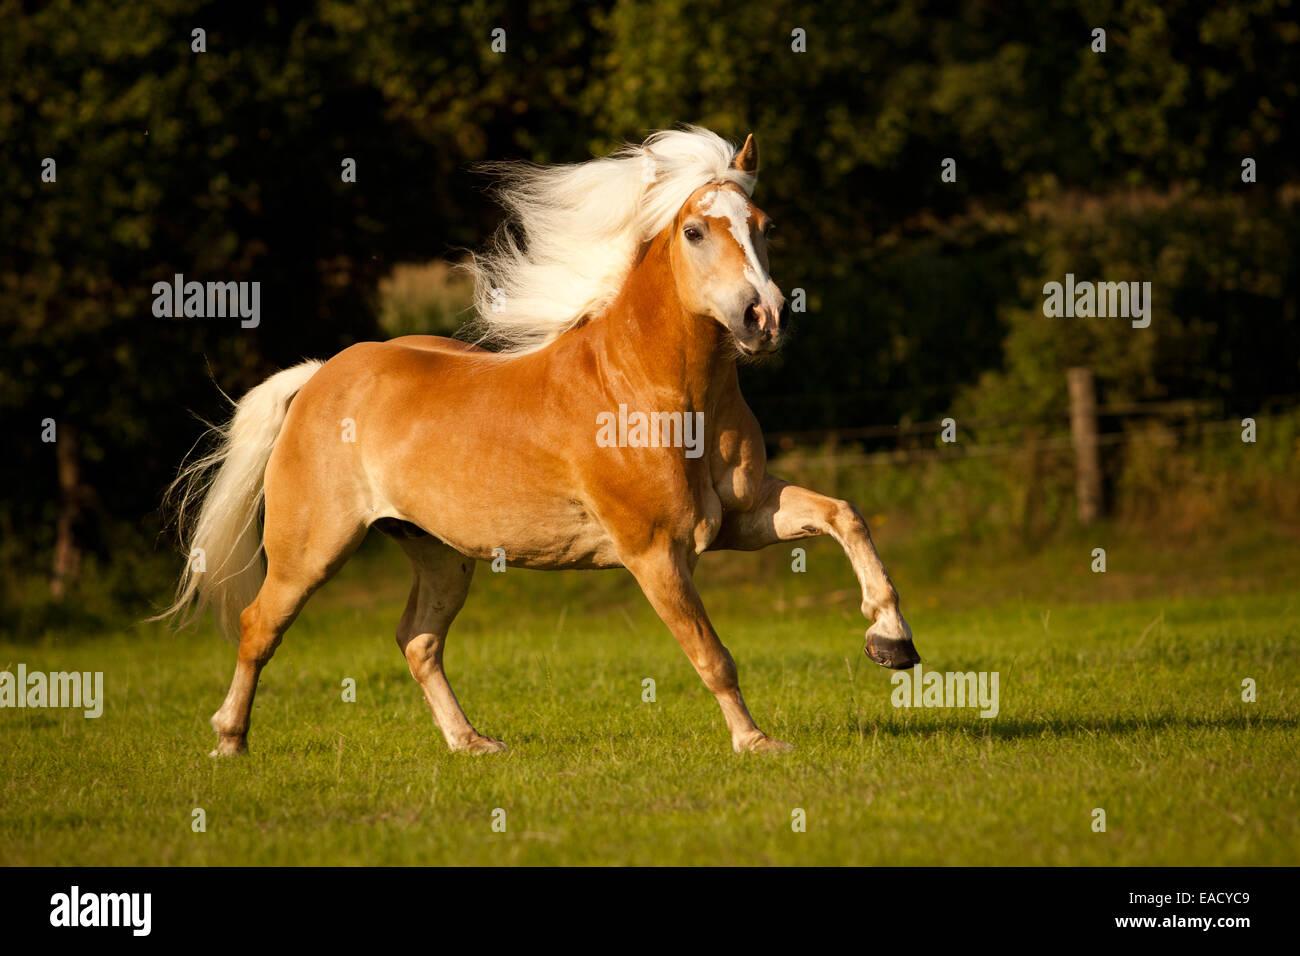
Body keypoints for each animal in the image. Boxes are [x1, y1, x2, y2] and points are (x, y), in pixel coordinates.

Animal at [162, 125, 920, 754]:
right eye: (695, 231)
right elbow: (712, 655)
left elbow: (843, 515)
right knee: (260, 625)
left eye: (764, 225)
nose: (763, 318)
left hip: (441, 553)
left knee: (418, 640)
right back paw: (229, 741)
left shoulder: (742, 517)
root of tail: (320, 377)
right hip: (312, 549)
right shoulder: (655, 552)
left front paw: (891, 642)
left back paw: (472, 744)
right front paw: (757, 743)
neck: (655, 390)